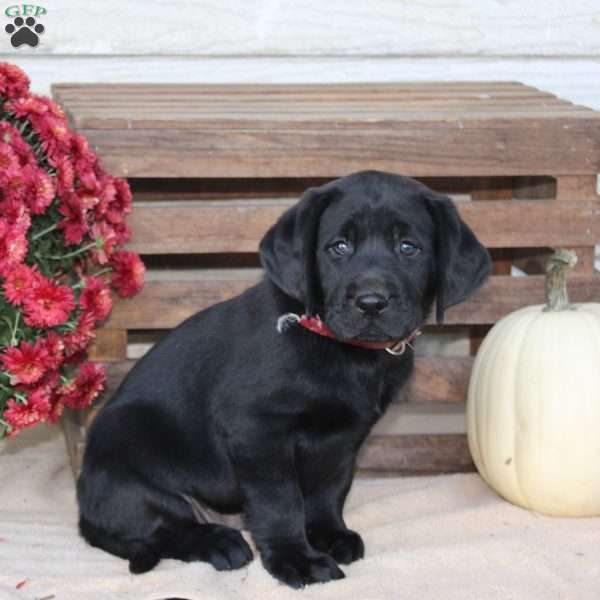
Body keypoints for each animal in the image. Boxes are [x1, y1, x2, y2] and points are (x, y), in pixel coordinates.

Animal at [77, 171, 490, 588]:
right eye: (338, 247)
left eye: (409, 247)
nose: (371, 303)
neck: (345, 352)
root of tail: (85, 508)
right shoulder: (257, 431)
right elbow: (280, 502)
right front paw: (297, 560)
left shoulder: (344, 437)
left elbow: (329, 490)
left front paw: (329, 535)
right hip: (130, 476)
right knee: (164, 531)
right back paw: (220, 543)